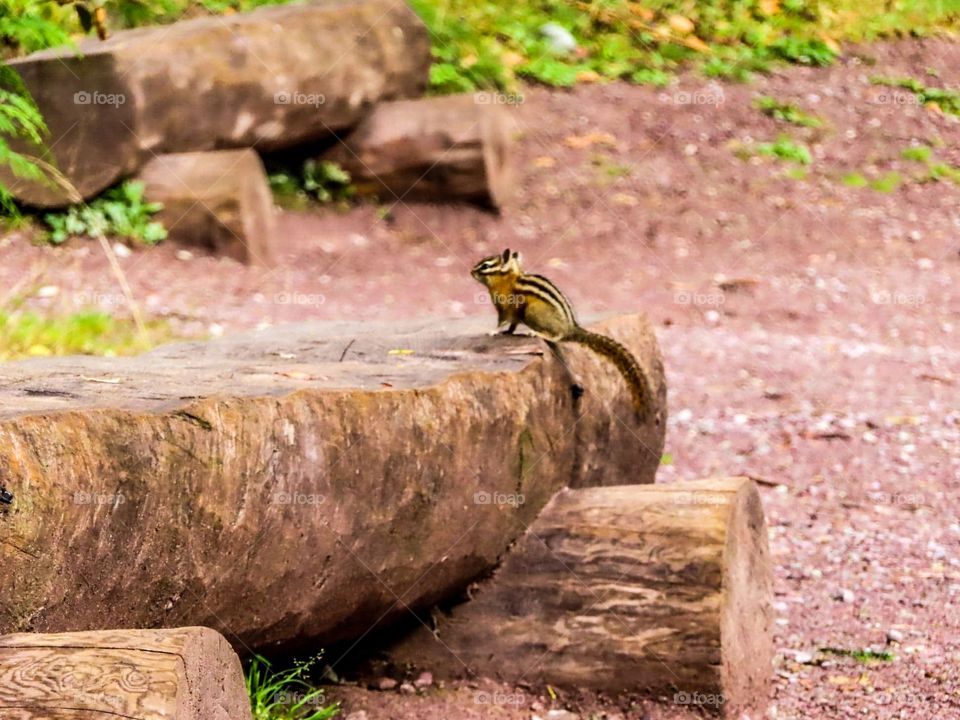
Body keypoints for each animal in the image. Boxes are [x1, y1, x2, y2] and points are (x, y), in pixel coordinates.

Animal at [471, 248, 655, 424]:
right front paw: (507, 332)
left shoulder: (506, 308)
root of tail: (571, 328)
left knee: (556, 336)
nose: (471, 271)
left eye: (485, 266)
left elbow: (503, 321)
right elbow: (512, 326)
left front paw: (494, 331)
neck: (508, 279)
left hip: (532, 311)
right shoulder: (514, 315)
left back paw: (536, 332)